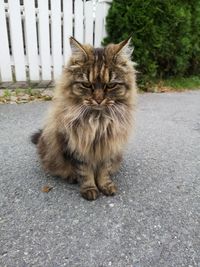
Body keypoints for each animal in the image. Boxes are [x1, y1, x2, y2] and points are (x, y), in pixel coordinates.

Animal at [31, 36, 137, 201]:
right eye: (87, 84)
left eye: (111, 85)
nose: (99, 100)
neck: (98, 121)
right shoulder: (76, 146)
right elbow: (85, 172)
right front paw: (90, 189)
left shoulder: (108, 145)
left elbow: (104, 170)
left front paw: (106, 186)